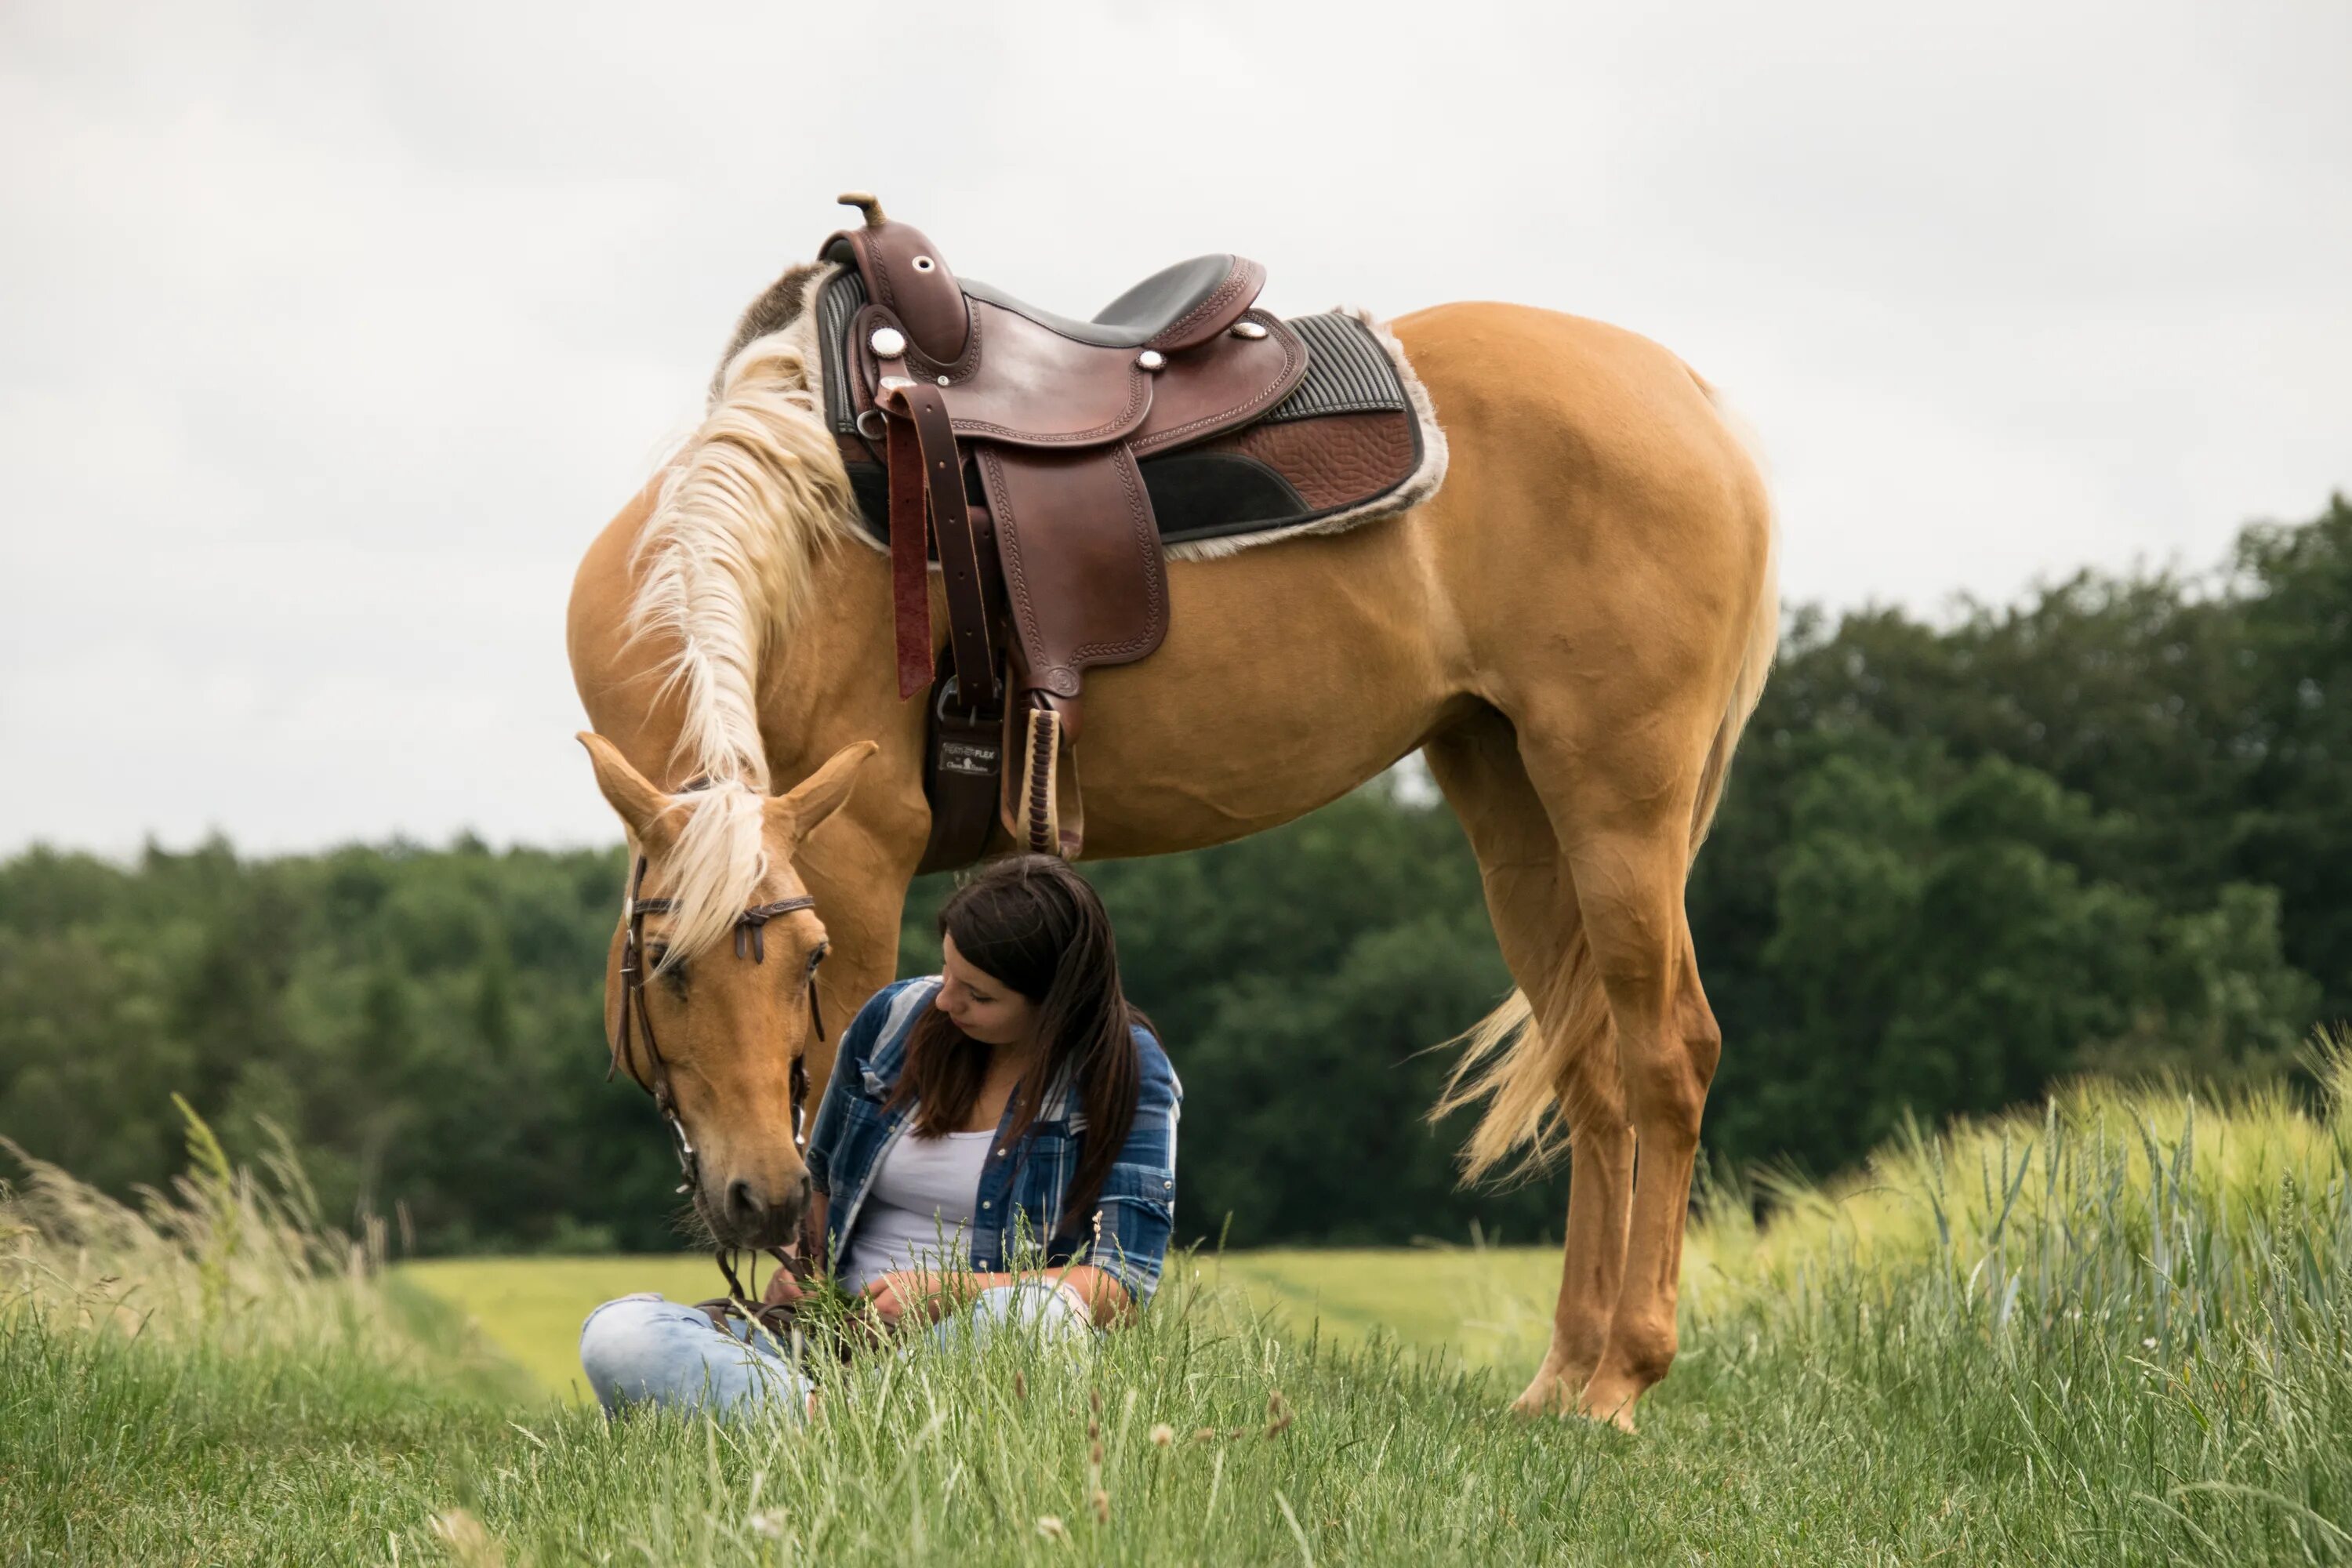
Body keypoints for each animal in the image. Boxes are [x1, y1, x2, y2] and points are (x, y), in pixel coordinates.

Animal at [569, 251, 1769, 1429]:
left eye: (807, 958)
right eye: (662, 967)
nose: (757, 1195)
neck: (803, 535)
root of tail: (1690, 401)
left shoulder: (860, 858)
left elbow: (836, 1096)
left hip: (1618, 799)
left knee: (1669, 1052)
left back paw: (1621, 1379)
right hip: (1512, 799)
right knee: (1591, 1068)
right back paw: (1561, 1379)